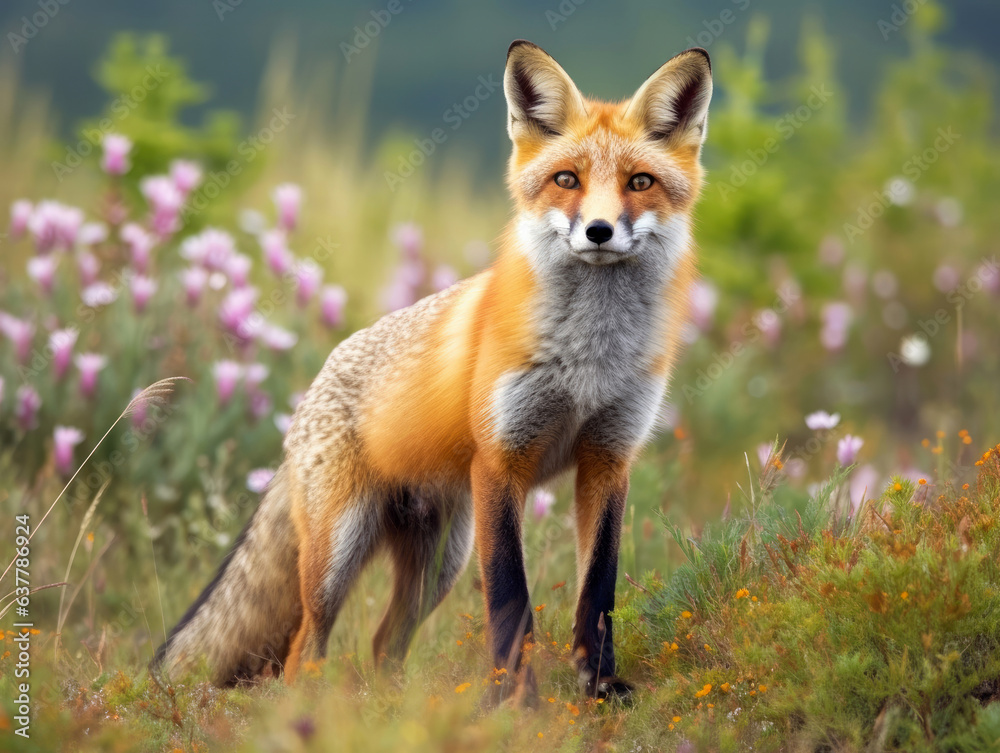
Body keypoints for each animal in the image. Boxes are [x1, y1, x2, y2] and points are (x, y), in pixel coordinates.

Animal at [153, 39, 713, 703]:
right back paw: (313, 707)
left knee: (382, 644)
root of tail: (308, 396)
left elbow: (598, 592)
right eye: (566, 180)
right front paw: (513, 702)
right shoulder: (501, 462)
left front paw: (599, 688)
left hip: (440, 562)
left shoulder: (608, 459)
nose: (598, 231)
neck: (589, 358)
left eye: (640, 182)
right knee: (302, 650)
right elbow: (510, 599)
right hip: (341, 553)